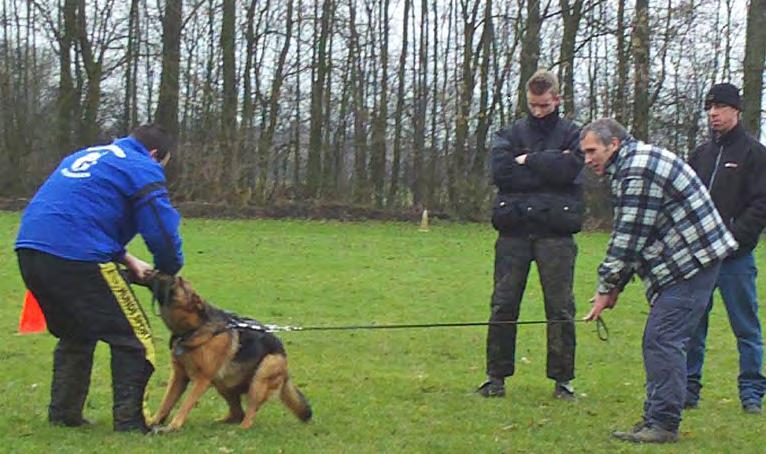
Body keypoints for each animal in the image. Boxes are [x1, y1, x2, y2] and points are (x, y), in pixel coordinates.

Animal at [144, 274, 312, 430]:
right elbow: (166, 402)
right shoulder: (178, 376)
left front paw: (173, 426)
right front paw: (153, 421)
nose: (155, 271)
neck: (194, 328)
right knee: (238, 413)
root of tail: (283, 355)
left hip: (261, 376)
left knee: (250, 412)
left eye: (178, 281)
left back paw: (242, 428)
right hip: (223, 382)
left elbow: (186, 404)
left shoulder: (202, 380)